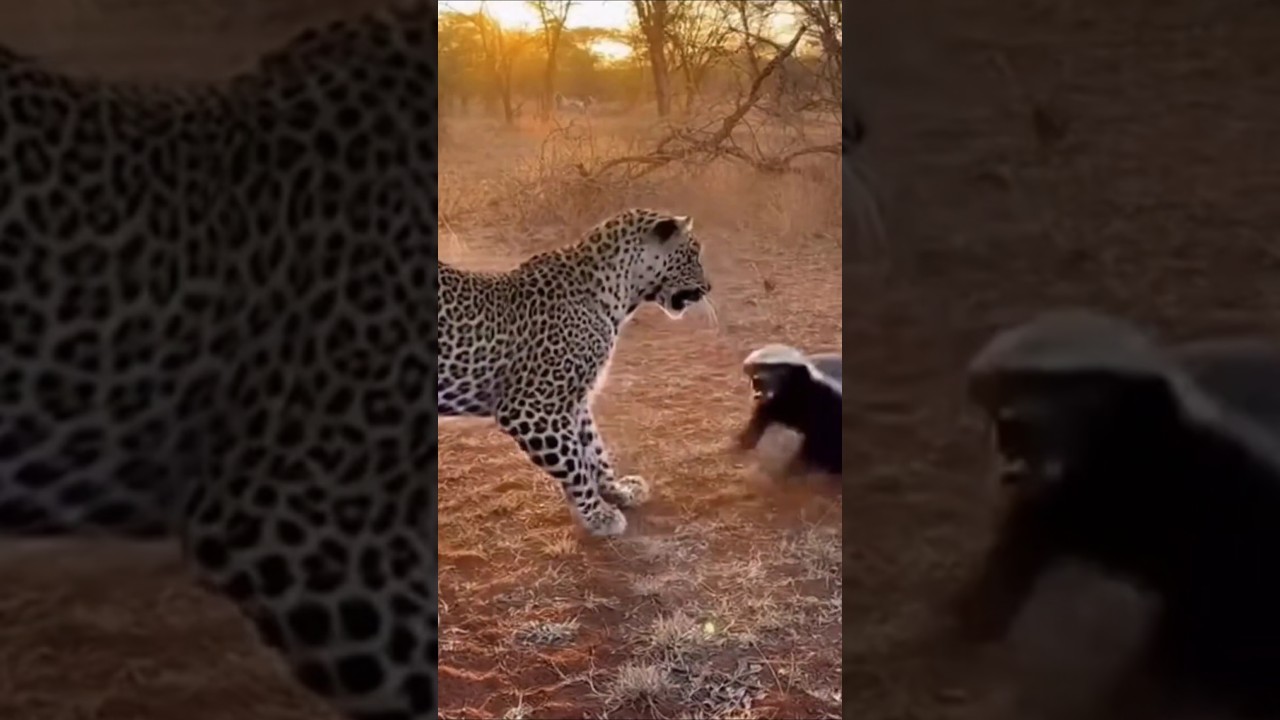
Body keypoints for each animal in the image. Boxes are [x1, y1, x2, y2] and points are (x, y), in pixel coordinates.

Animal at [438, 208, 712, 536]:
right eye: (693, 253)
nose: (709, 287)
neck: (618, 295)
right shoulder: (531, 409)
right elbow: (575, 464)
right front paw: (600, 515)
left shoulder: (575, 401)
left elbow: (595, 451)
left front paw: (618, 492)